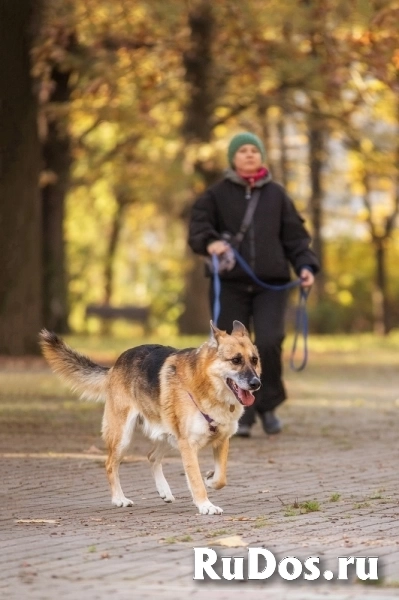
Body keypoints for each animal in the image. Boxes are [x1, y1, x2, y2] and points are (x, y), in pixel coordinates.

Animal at [38, 324, 262, 516]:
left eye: (254, 360)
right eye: (236, 360)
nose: (256, 383)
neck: (207, 385)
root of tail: (115, 365)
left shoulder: (221, 440)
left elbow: (220, 478)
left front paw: (209, 479)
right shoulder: (188, 445)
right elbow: (196, 480)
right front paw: (205, 504)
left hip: (168, 435)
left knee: (152, 456)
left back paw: (164, 490)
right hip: (123, 437)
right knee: (110, 464)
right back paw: (119, 499)